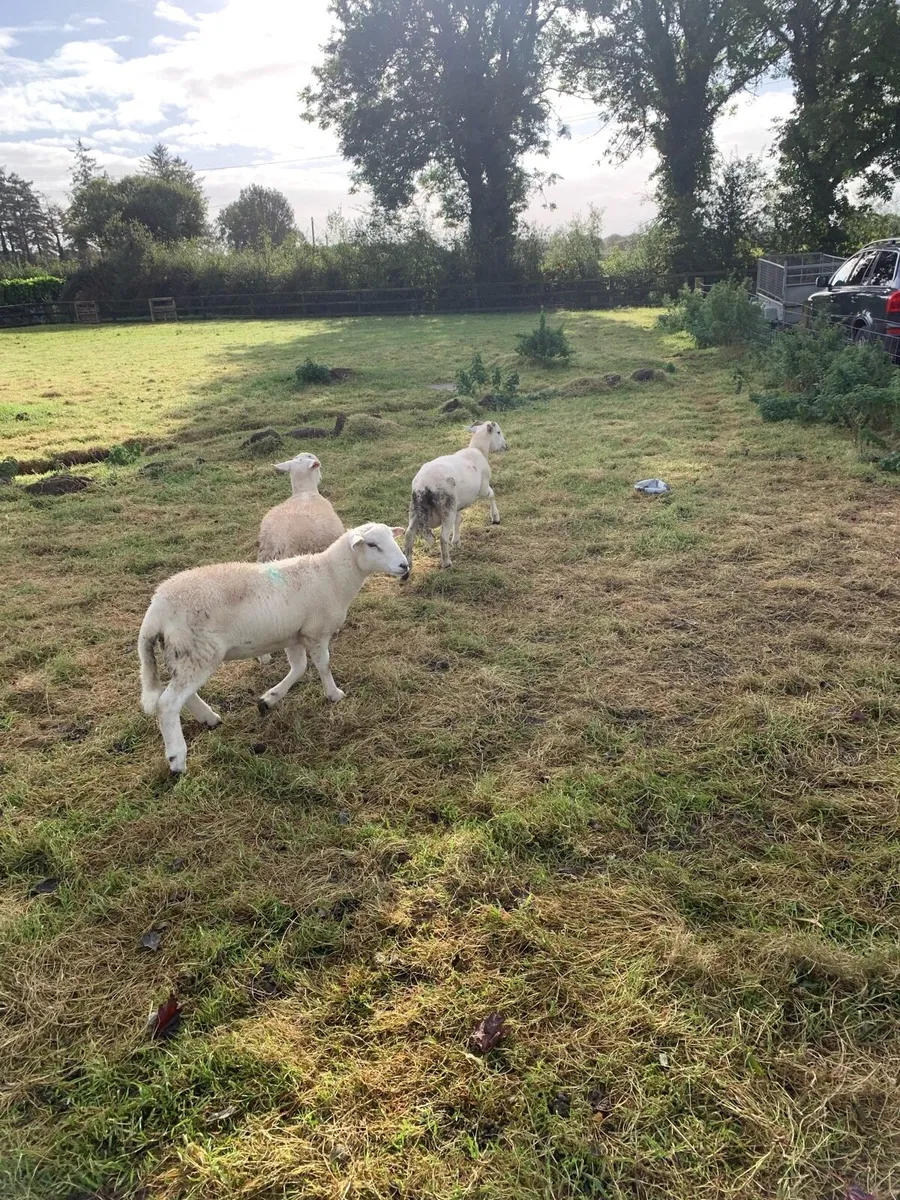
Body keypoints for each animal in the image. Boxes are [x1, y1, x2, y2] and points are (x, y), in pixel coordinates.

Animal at [138, 523, 409, 773]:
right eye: (372, 544)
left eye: (391, 538)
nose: (404, 566)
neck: (332, 576)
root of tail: (156, 608)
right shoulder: (316, 632)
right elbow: (324, 665)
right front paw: (334, 695)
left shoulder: (293, 635)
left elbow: (299, 668)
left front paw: (268, 700)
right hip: (197, 652)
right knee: (168, 704)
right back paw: (177, 759)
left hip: (184, 654)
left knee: (180, 694)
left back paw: (209, 719)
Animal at [403, 421, 508, 570]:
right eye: (498, 432)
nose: (506, 446)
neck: (479, 450)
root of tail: (423, 486)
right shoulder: (483, 486)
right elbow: (491, 495)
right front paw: (495, 517)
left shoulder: (457, 505)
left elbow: (458, 520)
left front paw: (456, 541)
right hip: (446, 508)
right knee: (442, 537)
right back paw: (447, 563)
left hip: (415, 509)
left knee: (409, 534)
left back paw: (408, 564)